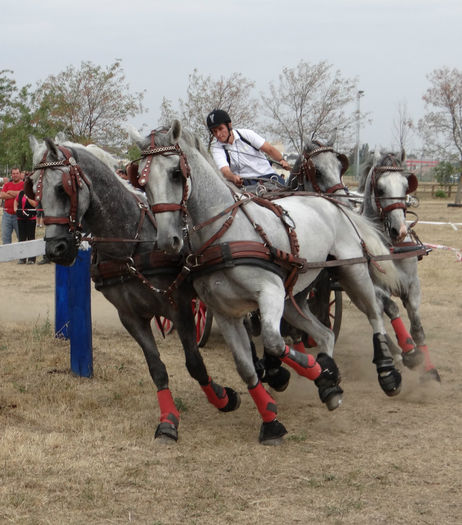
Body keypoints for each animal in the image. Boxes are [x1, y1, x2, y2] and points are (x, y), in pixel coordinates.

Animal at [129, 122, 400, 442]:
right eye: (141, 181)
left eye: (175, 173)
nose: (167, 241)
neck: (225, 233)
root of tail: (330, 203)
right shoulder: (226, 313)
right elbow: (246, 367)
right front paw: (273, 419)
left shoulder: (268, 293)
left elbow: (272, 341)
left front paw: (302, 374)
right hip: (296, 297)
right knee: (324, 334)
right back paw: (329, 378)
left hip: (351, 272)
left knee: (374, 313)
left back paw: (387, 372)